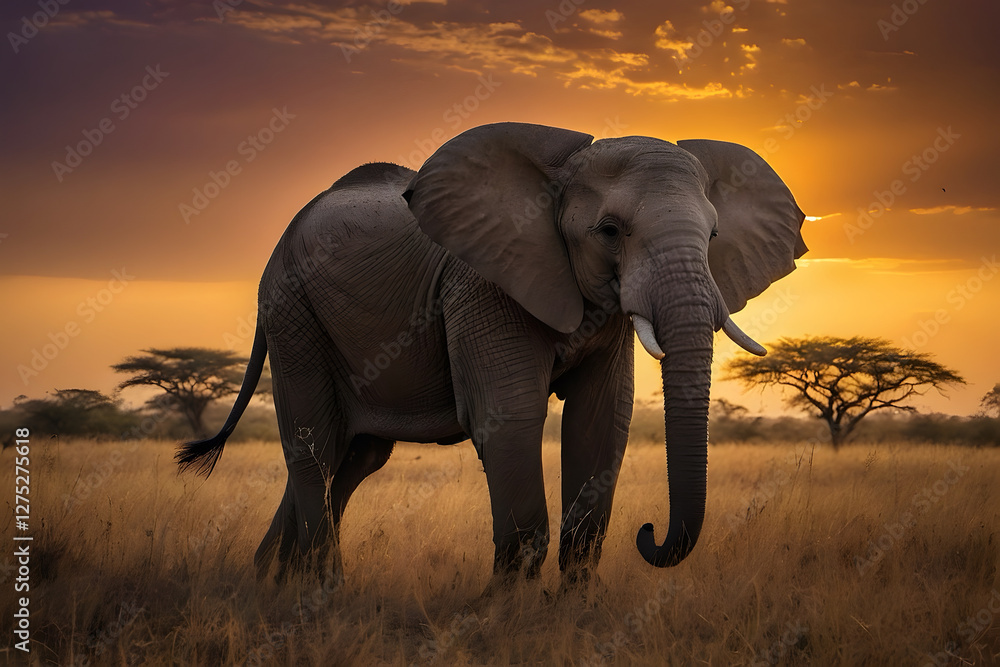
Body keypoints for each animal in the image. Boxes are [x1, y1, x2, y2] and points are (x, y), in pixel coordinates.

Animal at [176, 122, 806, 589]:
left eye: (714, 237)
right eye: (609, 230)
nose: (648, 532)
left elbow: (601, 420)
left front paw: (576, 611)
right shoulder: (481, 283)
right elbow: (509, 416)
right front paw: (503, 614)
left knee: (351, 457)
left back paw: (272, 582)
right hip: (291, 309)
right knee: (313, 446)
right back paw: (319, 591)